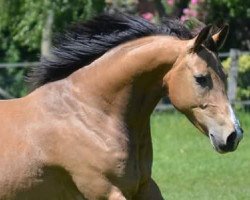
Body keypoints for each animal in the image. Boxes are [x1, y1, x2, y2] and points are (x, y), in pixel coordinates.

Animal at [0, 13, 243, 199]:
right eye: (201, 78)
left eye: (223, 75)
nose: (234, 135)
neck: (90, 113)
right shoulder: (105, 190)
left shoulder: (145, 186)